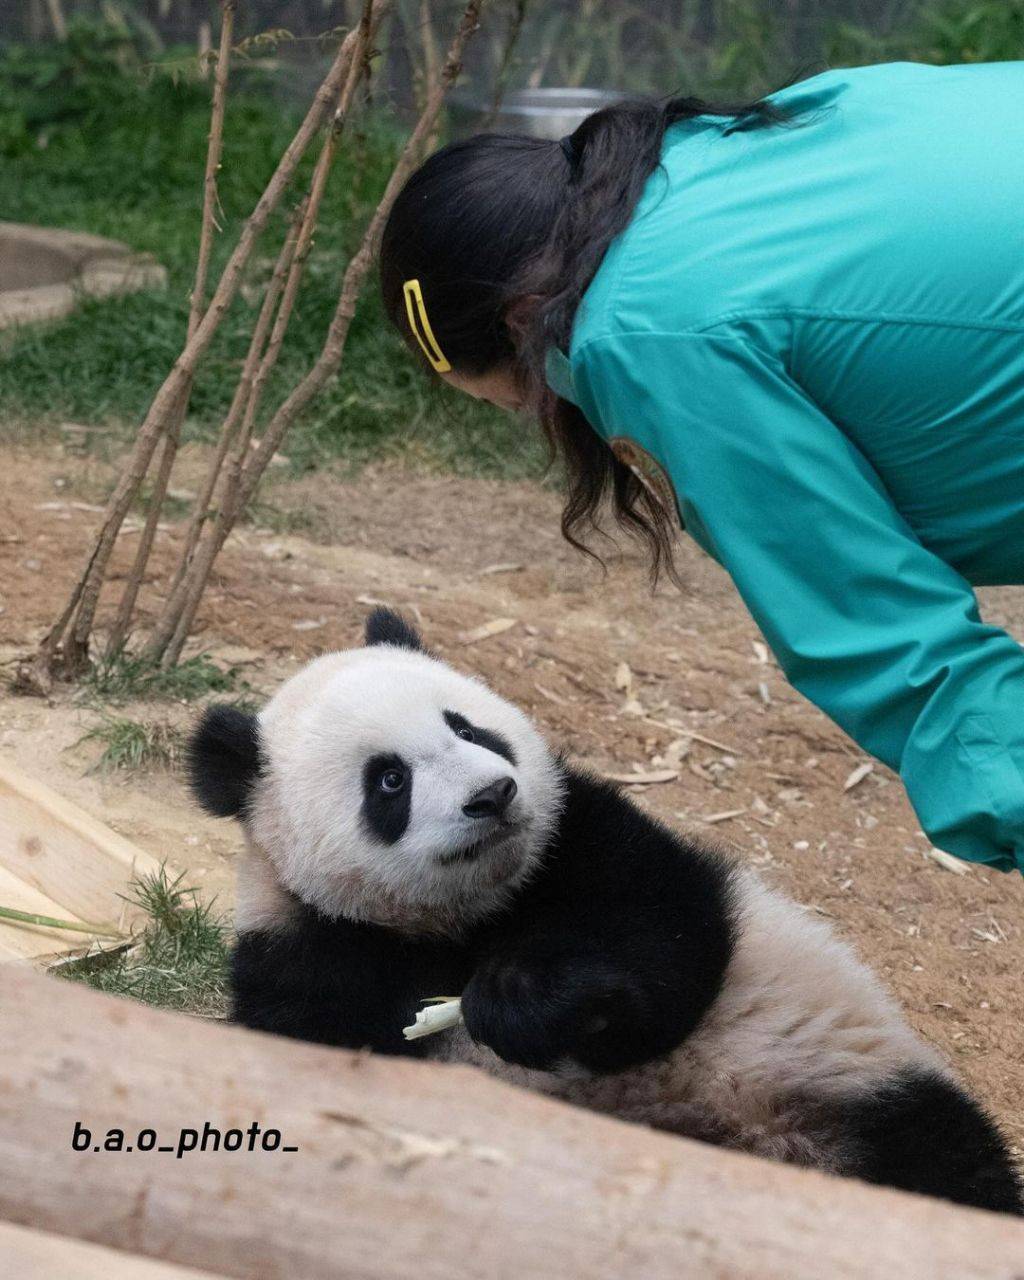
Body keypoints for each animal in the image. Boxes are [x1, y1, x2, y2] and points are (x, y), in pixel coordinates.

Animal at [192, 604, 1024, 1213]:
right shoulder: (305, 949)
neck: (459, 920)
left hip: (828, 1086)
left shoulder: (582, 834)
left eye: (466, 726)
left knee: (939, 1163)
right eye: (389, 781)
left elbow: (665, 947)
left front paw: (519, 998)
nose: (493, 795)